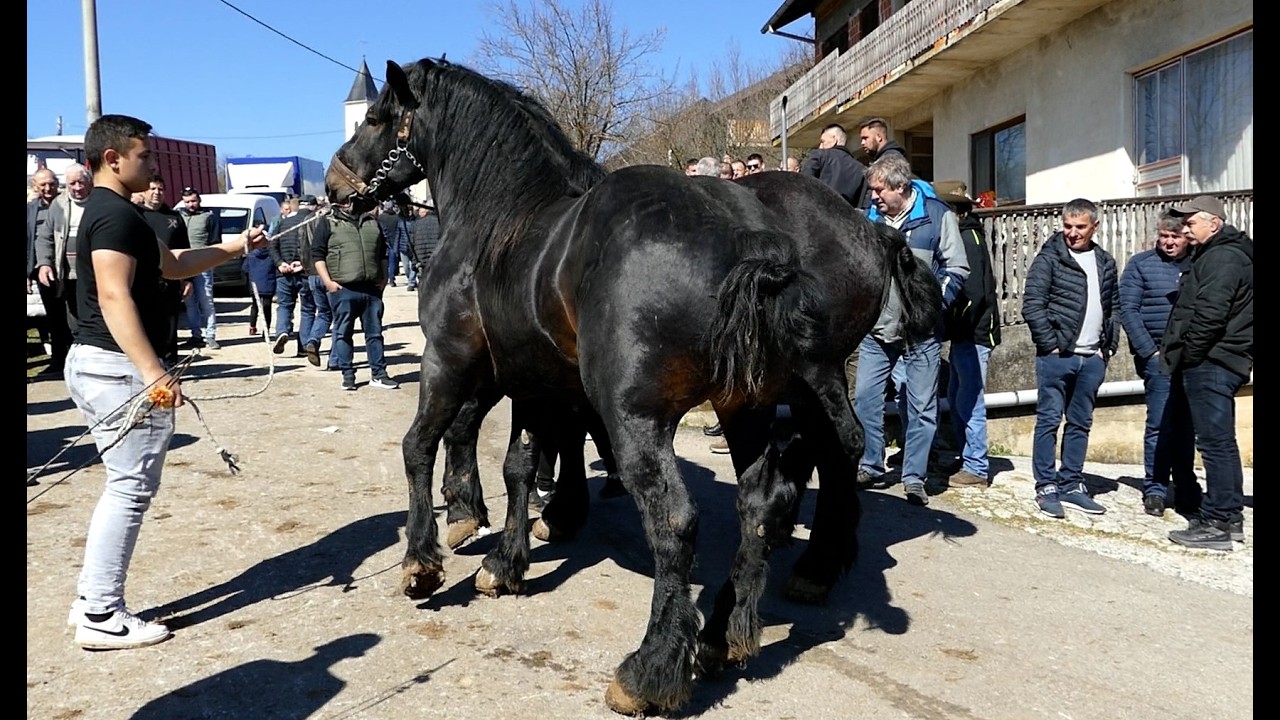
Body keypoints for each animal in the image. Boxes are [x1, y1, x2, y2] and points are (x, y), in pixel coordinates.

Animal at [326, 57, 940, 715]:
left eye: (373, 117)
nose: (334, 187)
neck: (502, 221)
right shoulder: (537, 382)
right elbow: (521, 465)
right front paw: (509, 557)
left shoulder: (451, 362)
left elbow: (421, 445)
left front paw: (424, 560)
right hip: (750, 403)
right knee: (768, 494)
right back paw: (727, 630)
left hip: (648, 414)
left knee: (680, 517)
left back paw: (652, 669)